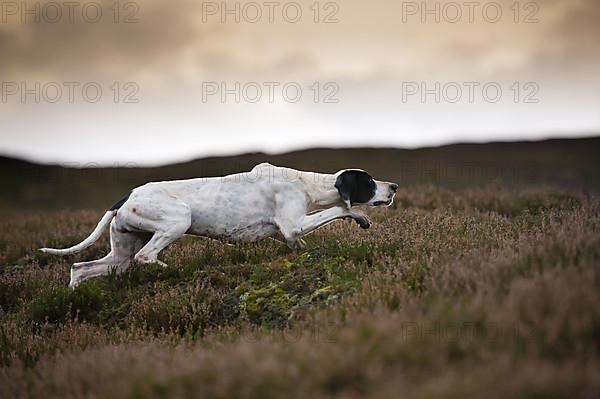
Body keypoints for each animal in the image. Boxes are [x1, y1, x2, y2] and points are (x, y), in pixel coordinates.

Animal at [42, 162, 398, 288]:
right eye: (368, 181)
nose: (394, 186)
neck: (307, 183)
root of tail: (125, 196)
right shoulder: (294, 224)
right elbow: (339, 209)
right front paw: (360, 216)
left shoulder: (287, 235)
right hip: (177, 218)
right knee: (146, 257)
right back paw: (166, 268)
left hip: (121, 254)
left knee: (80, 268)